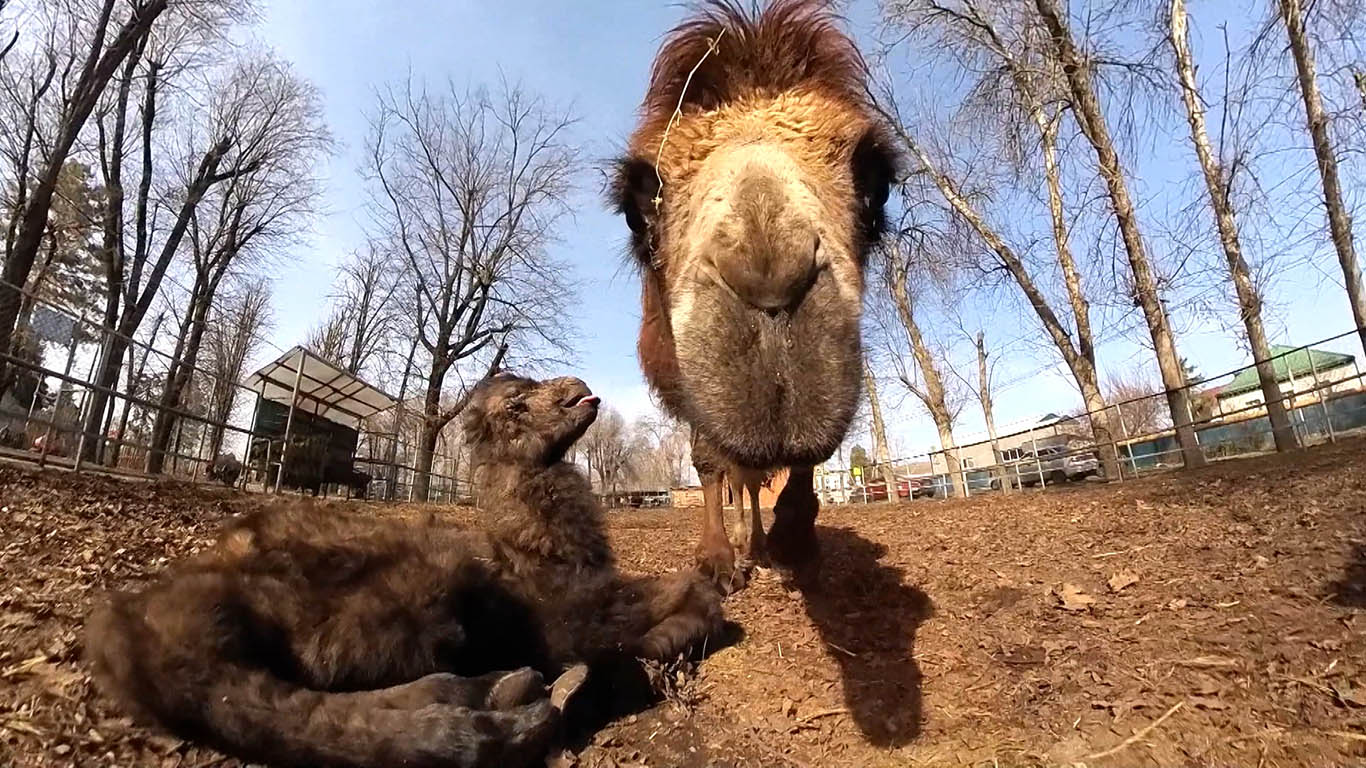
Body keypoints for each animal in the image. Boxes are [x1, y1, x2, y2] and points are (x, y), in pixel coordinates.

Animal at [85, 371, 726, 765]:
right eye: (515, 404)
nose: (582, 388)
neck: (541, 542)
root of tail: (132, 624)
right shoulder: (567, 610)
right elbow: (680, 595)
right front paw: (681, 628)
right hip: (421, 586)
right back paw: (511, 706)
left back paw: (502, 695)